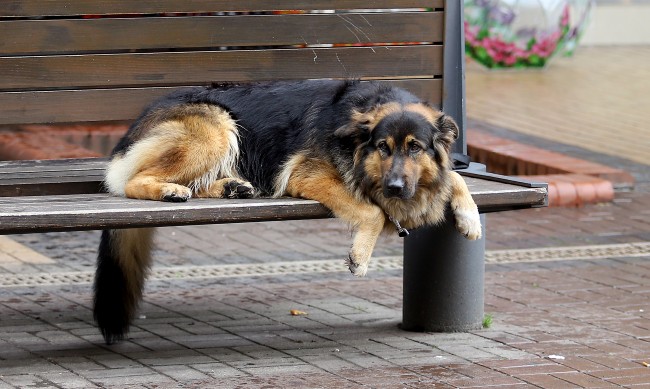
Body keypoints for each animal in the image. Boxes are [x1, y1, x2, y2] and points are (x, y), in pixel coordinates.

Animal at [96, 79, 480, 342]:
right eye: (383, 148)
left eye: (415, 148)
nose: (395, 188)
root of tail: (134, 127)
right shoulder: (307, 174)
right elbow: (373, 212)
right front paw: (360, 256)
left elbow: (454, 176)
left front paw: (469, 216)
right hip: (215, 126)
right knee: (132, 180)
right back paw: (170, 190)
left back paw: (230, 187)